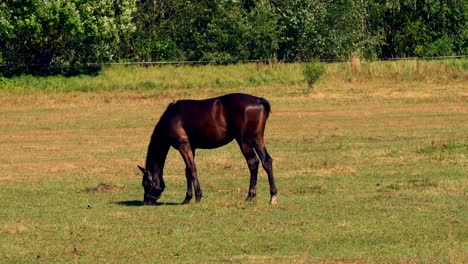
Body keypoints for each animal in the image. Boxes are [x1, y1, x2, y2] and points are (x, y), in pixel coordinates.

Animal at [138, 93, 278, 206]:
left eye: (145, 183)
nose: (146, 202)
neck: (171, 117)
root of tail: (257, 100)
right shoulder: (191, 147)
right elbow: (187, 171)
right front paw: (187, 199)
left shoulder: (183, 145)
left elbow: (192, 170)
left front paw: (198, 197)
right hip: (257, 138)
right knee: (266, 161)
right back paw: (272, 196)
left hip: (244, 140)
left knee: (253, 162)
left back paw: (250, 196)